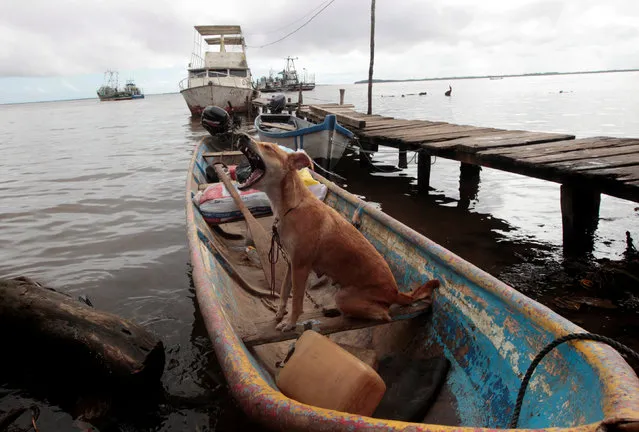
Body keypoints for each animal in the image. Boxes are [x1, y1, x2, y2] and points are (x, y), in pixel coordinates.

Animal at [235, 137, 440, 332]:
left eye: (268, 147)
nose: (242, 136)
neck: (292, 205)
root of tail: (396, 292)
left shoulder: (301, 266)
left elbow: (297, 302)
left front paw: (291, 323)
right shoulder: (292, 263)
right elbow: (285, 292)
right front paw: (279, 314)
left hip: (344, 296)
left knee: (384, 314)